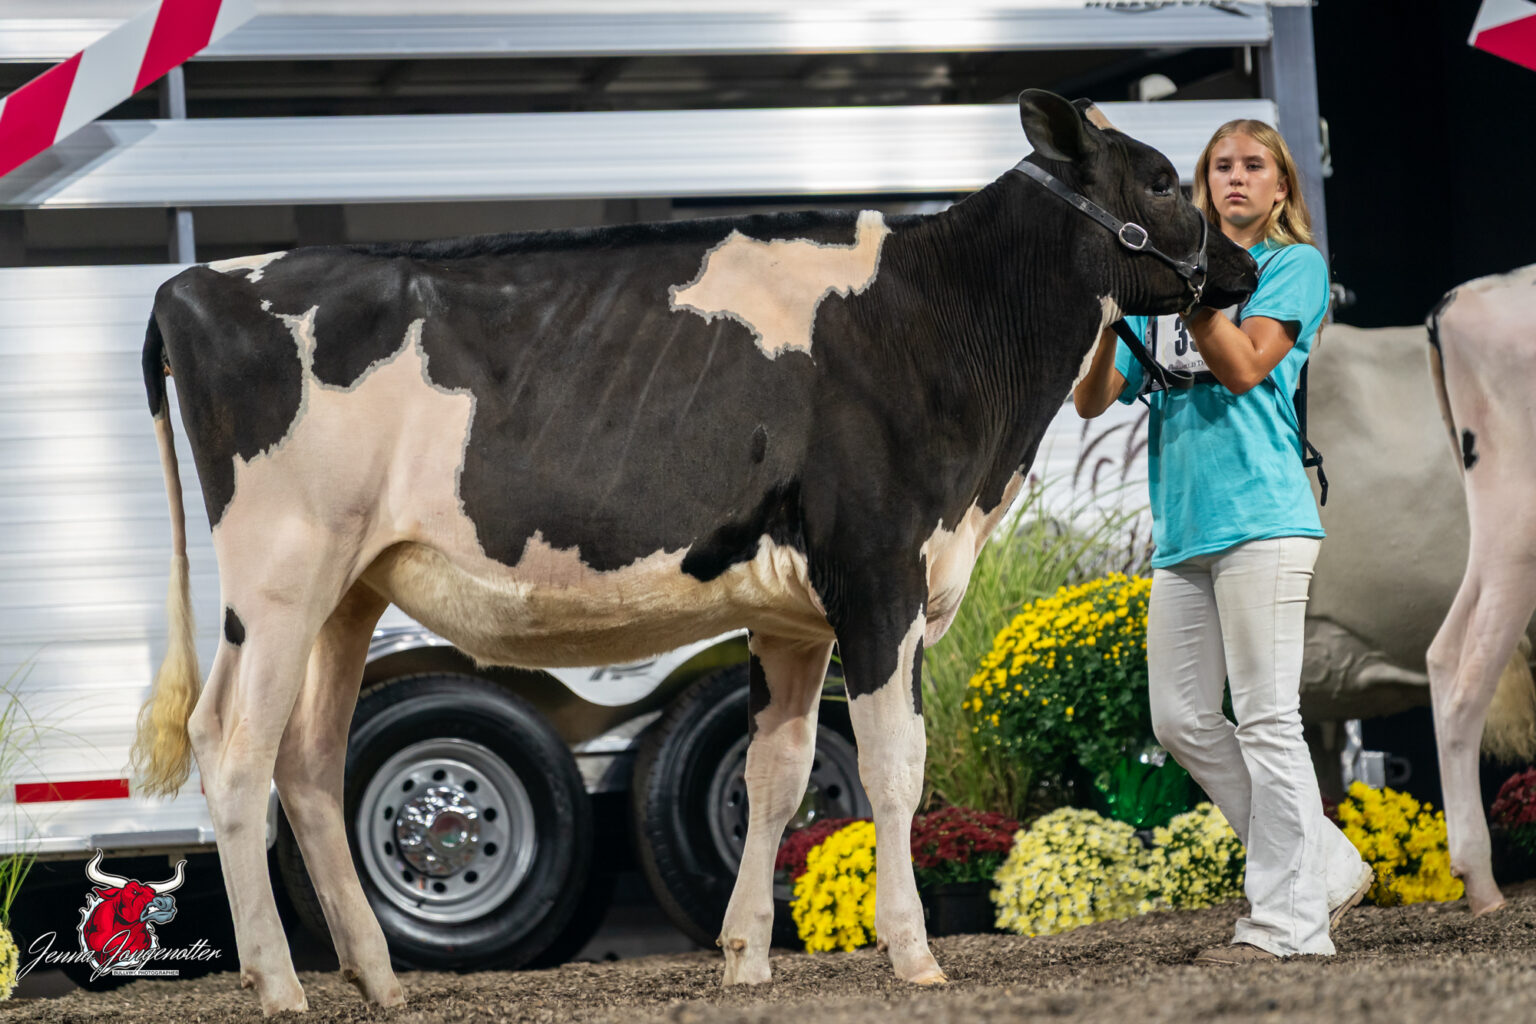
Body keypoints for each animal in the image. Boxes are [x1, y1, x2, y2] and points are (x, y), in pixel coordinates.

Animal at [128, 90, 1256, 1014]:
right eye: (1162, 177)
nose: (1244, 265)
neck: (942, 321)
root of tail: (196, 279)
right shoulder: (880, 573)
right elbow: (895, 767)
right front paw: (913, 951)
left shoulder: (792, 612)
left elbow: (779, 775)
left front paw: (748, 956)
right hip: (280, 572)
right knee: (232, 745)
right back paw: (280, 984)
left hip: (347, 590)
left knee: (311, 760)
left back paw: (378, 977)